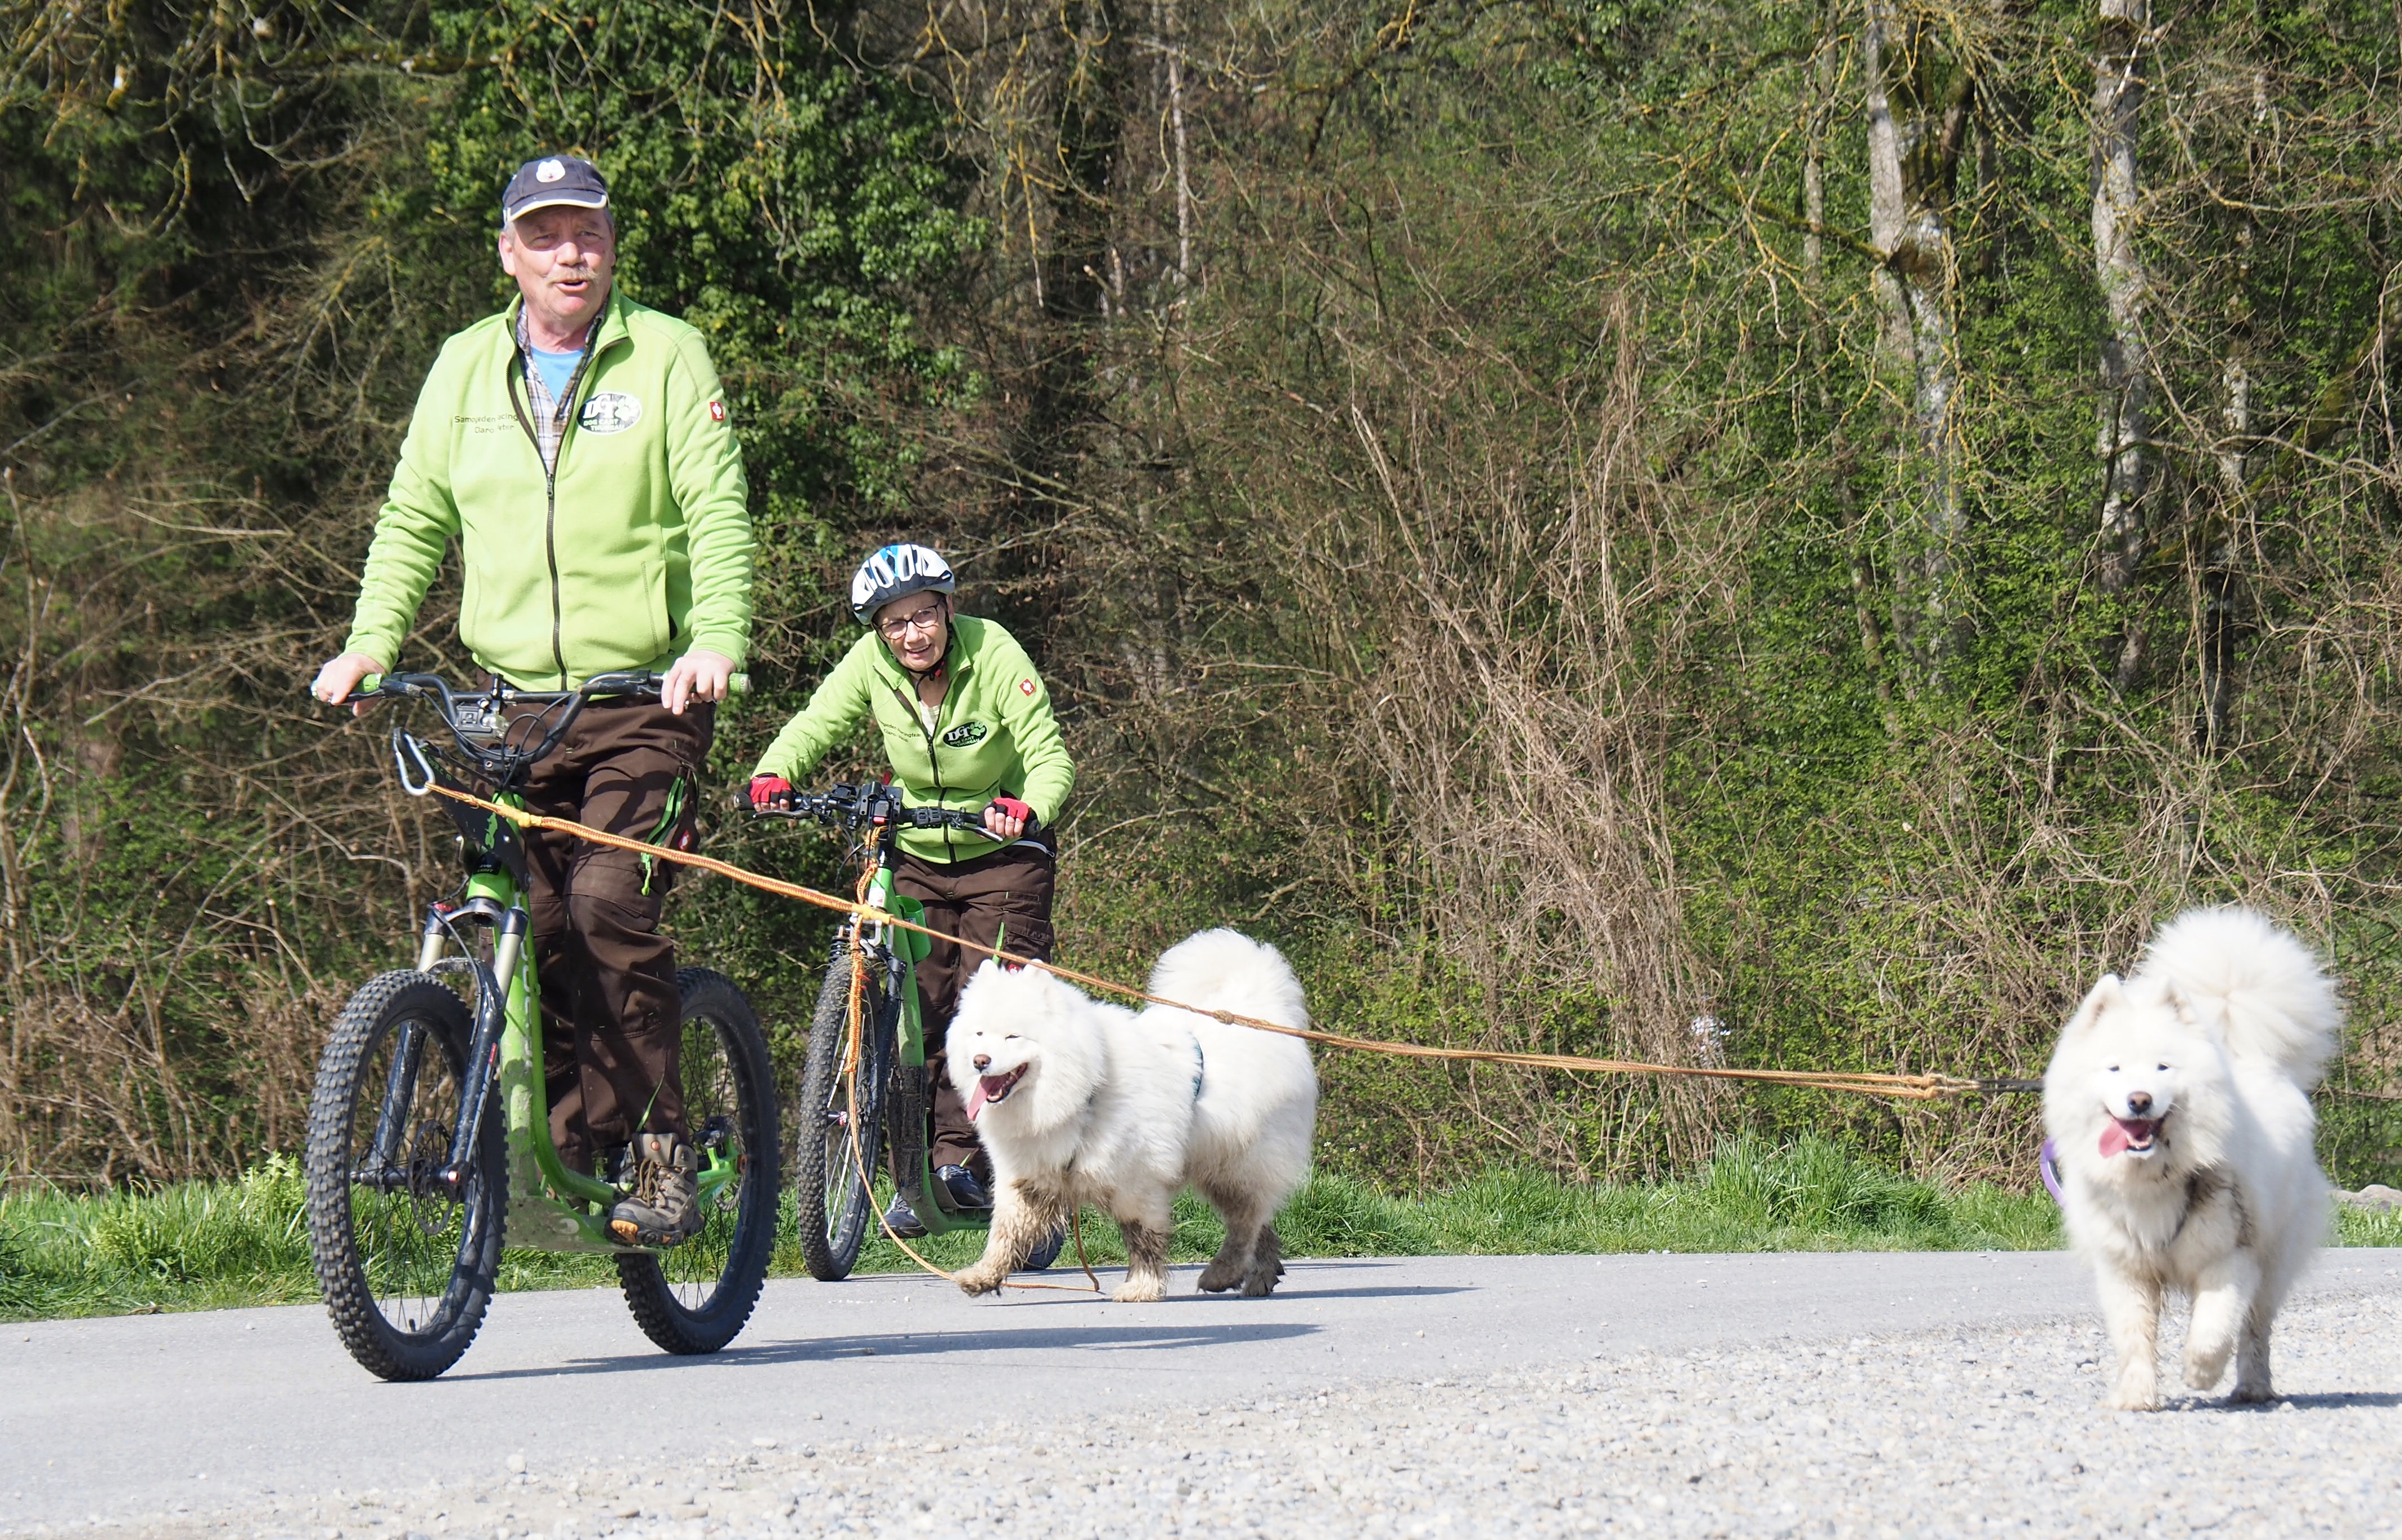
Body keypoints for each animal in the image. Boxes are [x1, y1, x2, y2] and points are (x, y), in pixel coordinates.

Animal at [944, 928, 1319, 1302]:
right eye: (979, 1033)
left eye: (1013, 1036)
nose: (980, 1061)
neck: (1085, 1090)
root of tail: (1261, 1009)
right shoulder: (1029, 1175)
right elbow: (1004, 1234)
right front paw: (982, 1276)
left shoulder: (1137, 1182)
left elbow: (1142, 1238)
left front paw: (1142, 1286)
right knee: (1261, 1224)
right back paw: (1259, 1278)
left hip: (1237, 1167)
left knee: (1247, 1224)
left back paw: (1223, 1273)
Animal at [2043, 906, 2340, 1409]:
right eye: (2114, 1068)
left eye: (2163, 1067)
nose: (2139, 1100)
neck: (2153, 1182)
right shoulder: (2126, 1270)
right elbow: (2134, 1339)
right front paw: (2137, 1397)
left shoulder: (2230, 1257)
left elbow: (2213, 1329)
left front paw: (2200, 1374)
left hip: (2275, 1259)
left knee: (2256, 1330)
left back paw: (2252, 1388)